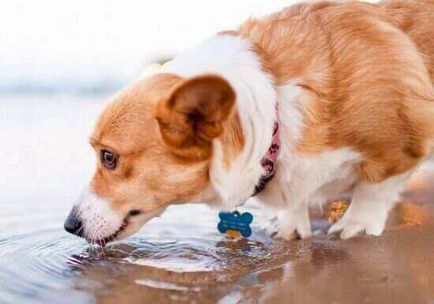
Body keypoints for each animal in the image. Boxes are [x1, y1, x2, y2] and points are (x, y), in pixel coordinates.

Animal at [64, 0, 434, 243]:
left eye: (109, 157)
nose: (69, 226)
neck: (275, 112)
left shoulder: (400, 145)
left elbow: (374, 188)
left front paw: (354, 225)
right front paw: (288, 224)